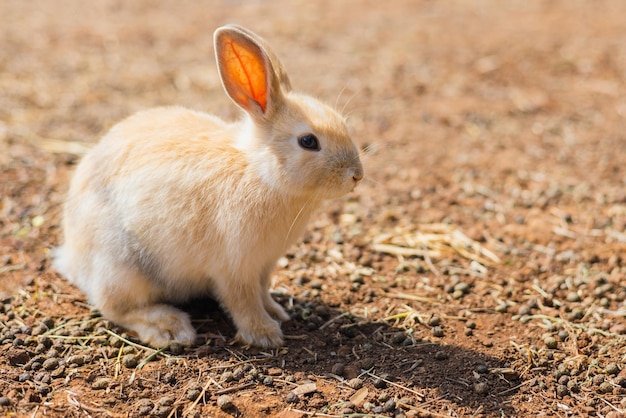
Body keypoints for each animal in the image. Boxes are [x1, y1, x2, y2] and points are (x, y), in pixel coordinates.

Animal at [55, 23, 364, 350]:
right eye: (308, 141)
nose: (357, 175)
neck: (260, 171)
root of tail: (71, 257)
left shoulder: (264, 266)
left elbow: (263, 291)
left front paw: (277, 312)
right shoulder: (234, 268)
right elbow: (243, 302)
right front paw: (265, 334)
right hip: (123, 267)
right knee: (115, 308)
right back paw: (170, 328)